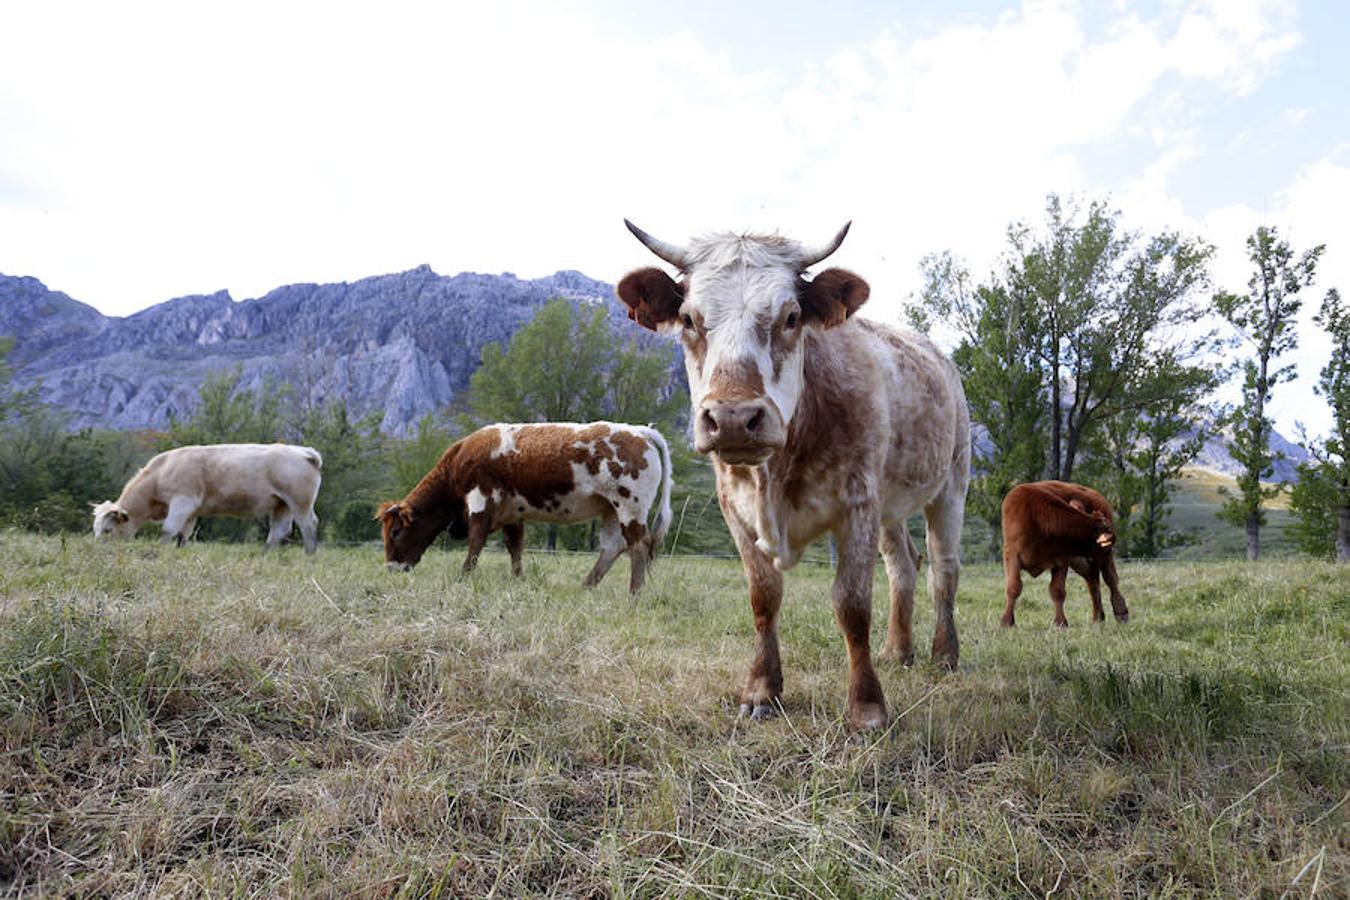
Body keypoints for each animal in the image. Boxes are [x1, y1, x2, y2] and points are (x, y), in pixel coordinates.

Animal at [92, 442, 324, 553]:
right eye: (95, 529)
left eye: (107, 530)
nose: (96, 551)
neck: (160, 473)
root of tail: (302, 451)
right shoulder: (192, 511)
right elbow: (183, 535)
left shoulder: (182, 502)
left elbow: (168, 530)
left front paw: (160, 550)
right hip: (281, 504)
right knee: (279, 531)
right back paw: (264, 555)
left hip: (300, 501)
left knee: (308, 524)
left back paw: (309, 555)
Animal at [378, 426, 672, 593]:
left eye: (395, 532)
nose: (390, 568)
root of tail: (640, 431)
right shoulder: (511, 513)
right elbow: (515, 547)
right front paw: (518, 580)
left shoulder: (481, 500)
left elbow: (475, 543)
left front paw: (462, 578)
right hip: (611, 509)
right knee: (612, 547)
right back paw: (586, 587)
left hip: (630, 505)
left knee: (638, 545)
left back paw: (634, 594)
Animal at [612, 219, 972, 734]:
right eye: (688, 319)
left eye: (791, 316)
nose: (734, 418)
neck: (775, 476)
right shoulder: (735, 509)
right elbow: (764, 597)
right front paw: (762, 689)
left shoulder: (857, 504)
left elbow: (851, 605)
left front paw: (866, 707)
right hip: (891, 504)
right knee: (903, 566)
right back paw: (897, 650)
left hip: (951, 483)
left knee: (943, 569)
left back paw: (944, 654)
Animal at [1004, 483, 1128, 631]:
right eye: (1107, 530)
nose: (1113, 539)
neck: (1036, 516)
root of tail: (1097, 496)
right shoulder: (1012, 556)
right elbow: (1013, 587)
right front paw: (1007, 622)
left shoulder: (1062, 560)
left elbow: (1057, 591)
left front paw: (1060, 623)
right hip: (1084, 560)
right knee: (1092, 579)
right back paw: (1098, 618)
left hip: (1099, 560)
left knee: (1111, 580)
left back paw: (1121, 613)